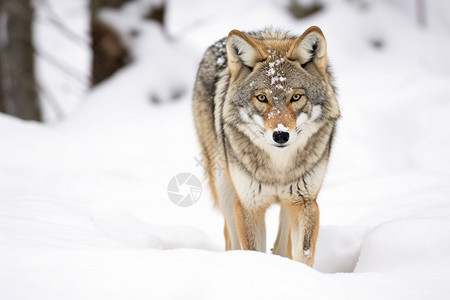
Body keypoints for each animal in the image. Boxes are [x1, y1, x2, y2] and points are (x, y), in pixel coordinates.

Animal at [192, 25, 340, 264]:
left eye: (296, 97)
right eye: (262, 98)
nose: (280, 135)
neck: (278, 169)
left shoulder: (306, 202)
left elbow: (304, 253)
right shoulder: (248, 206)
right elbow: (253, 251)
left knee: (281, 244)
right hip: (224, 188)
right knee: (230, 236)